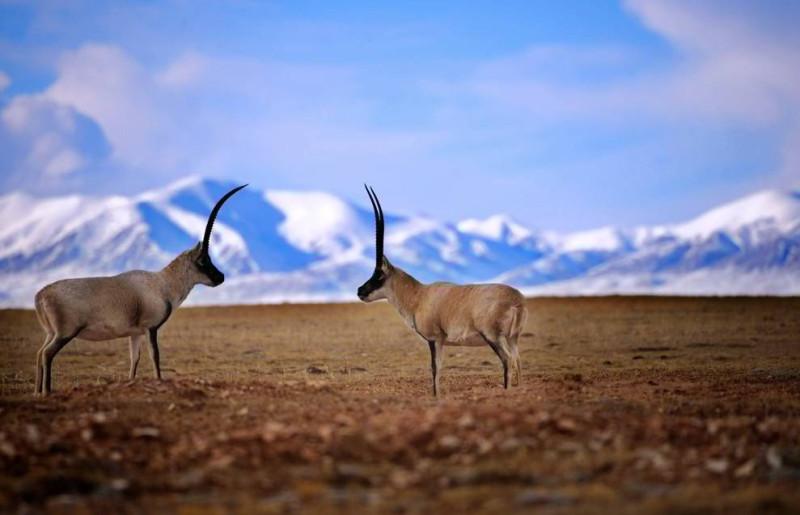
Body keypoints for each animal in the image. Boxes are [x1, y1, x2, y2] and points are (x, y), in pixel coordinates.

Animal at [33, 185, 247, 396]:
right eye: (203, 260)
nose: (221, 277)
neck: (163, 283)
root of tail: (41, 295)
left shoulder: (134, 333)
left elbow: (134, 358)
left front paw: (131, 383)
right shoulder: (150, 328)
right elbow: (155, 355)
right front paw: (159, 381)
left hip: (51, 333)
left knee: (39, 352)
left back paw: (36, 392)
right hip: (65, 333)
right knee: (47, 353)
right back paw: (46, 392)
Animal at [360, 187, 528, 398]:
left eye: (379, 274)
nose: (360, 291)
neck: (418, 296)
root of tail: (517, 301)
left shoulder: (435, 339)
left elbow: (435, 368)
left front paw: (435, 395)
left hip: (493, 337)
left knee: (507, 360)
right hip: (513, 338)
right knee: (518, 360)